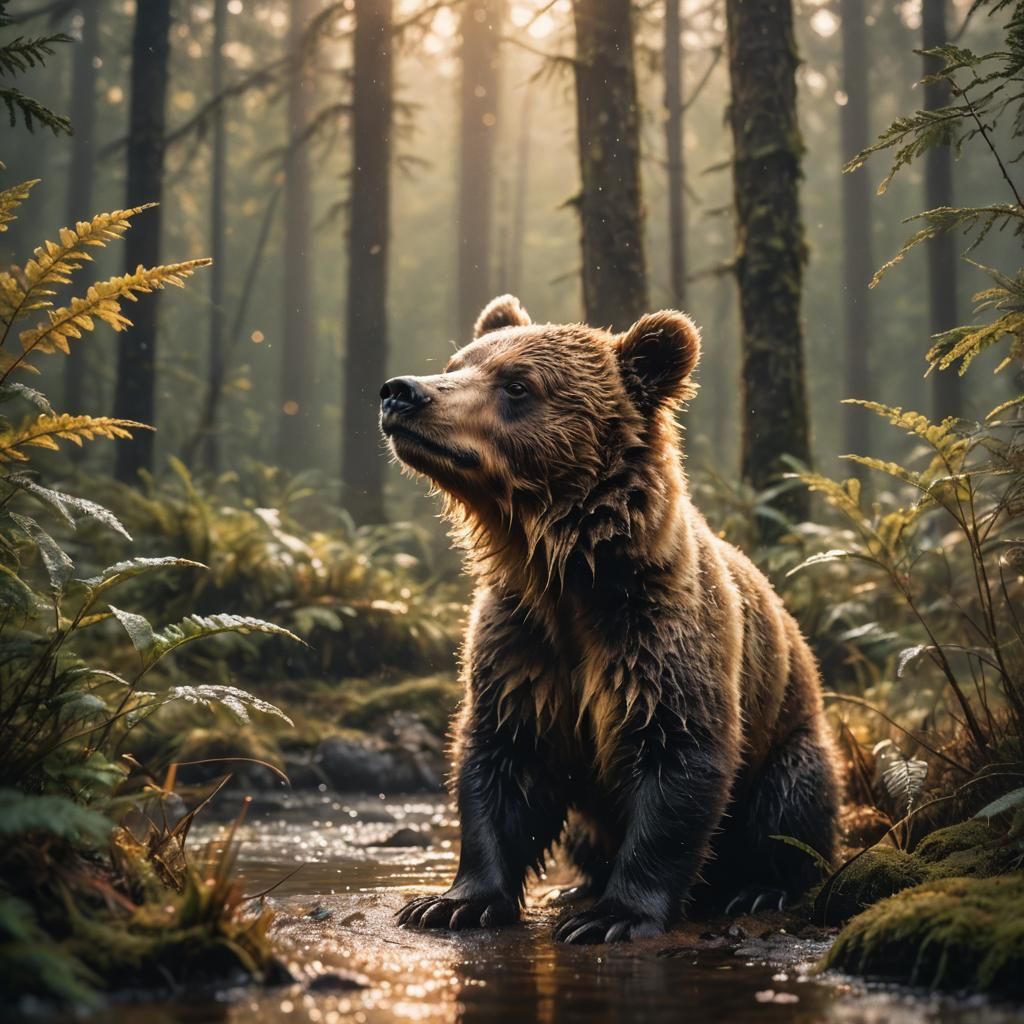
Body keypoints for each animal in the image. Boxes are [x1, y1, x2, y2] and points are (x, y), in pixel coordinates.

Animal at [378, 295, 842, 944]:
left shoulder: (657, 636)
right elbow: (498, 759)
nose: (402, 391)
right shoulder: (522, 643)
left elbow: (678, 760)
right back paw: (579, 883)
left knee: (790, 804)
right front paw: (452, 901)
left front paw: (613, 916)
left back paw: (756, 888)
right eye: (457, 363)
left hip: (791, 732)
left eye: (517, 384)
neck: (568, 570)